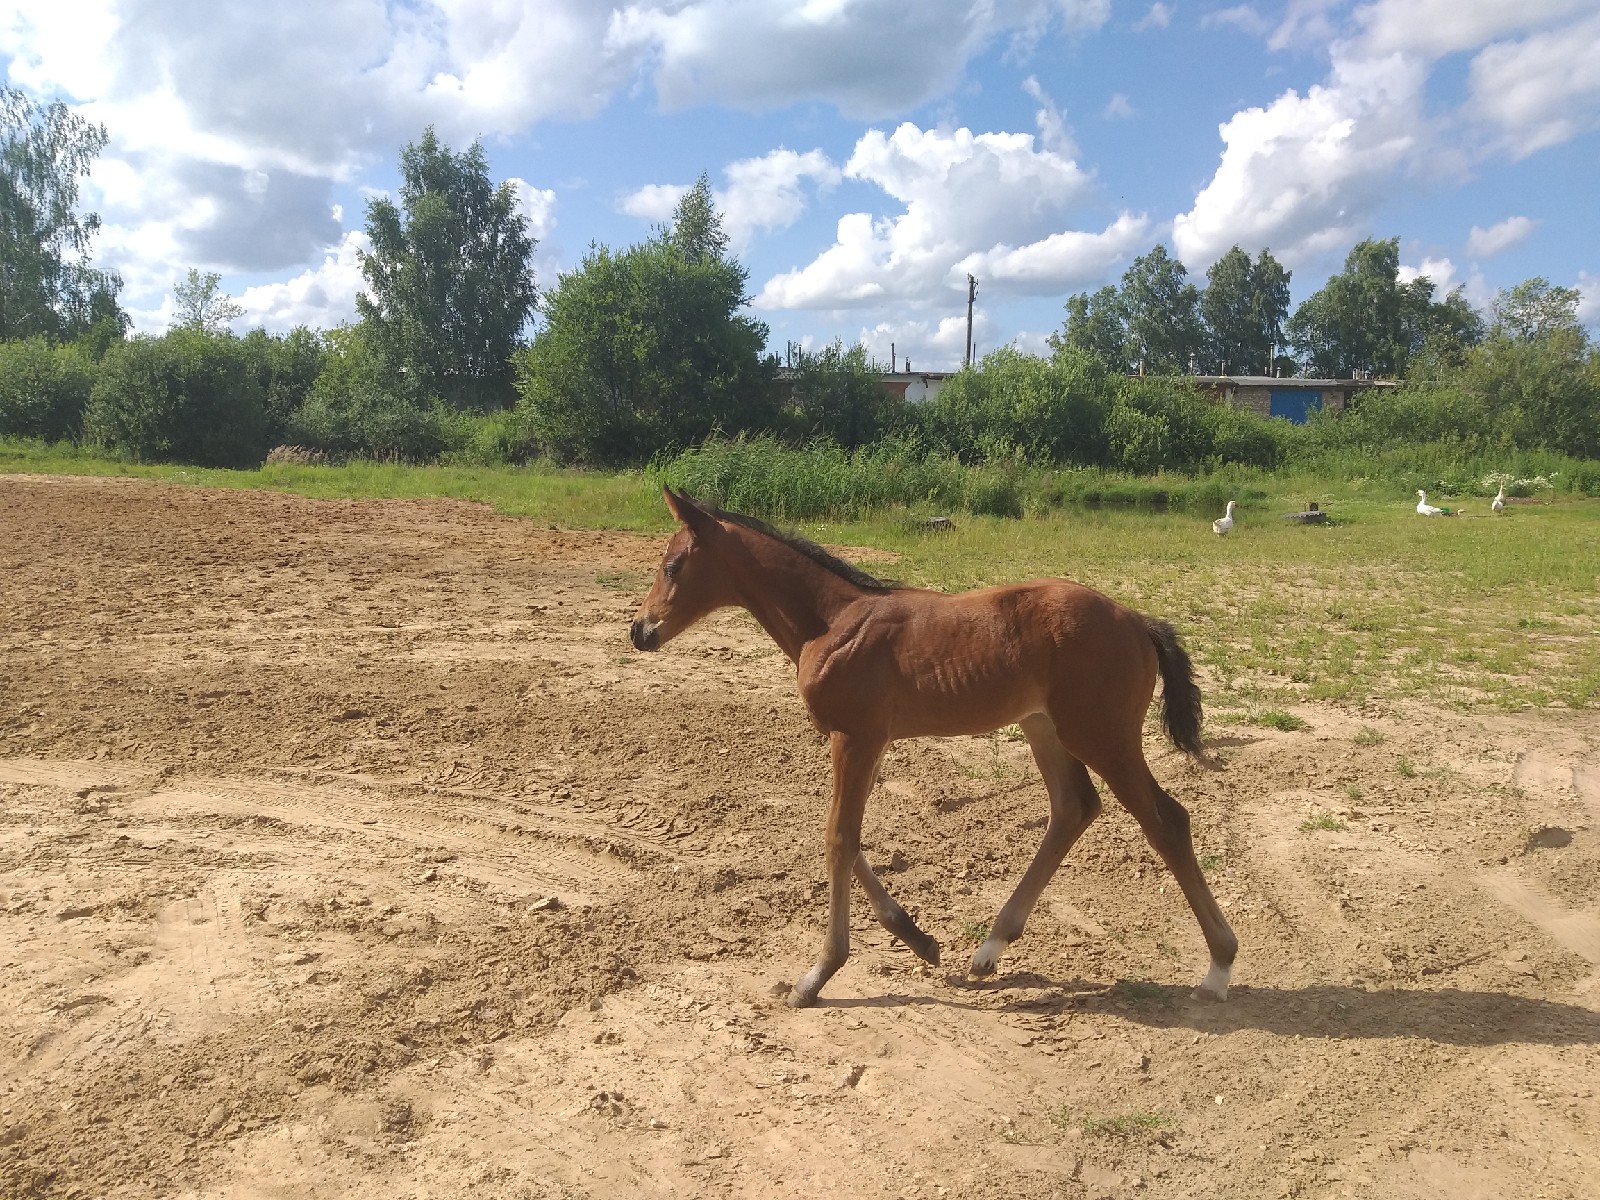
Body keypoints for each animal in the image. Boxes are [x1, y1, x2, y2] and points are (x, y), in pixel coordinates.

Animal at [629, 488, 1237, 1008]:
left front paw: (816, 976)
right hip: (1044, 727)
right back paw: (989, 949)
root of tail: (1138, 620)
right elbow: (847, 835)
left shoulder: (856, 737)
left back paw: (1219, 966)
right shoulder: (864, 740)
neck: (830, 622)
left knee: (1166, 820)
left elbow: (838, 838)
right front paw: (918, 939)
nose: (640, 630)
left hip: (1102, 735)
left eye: (673, 566)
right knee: (1074, 807)